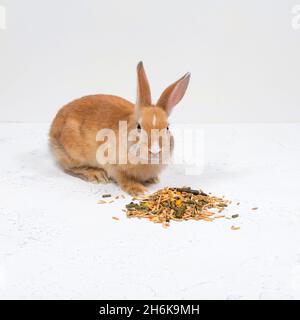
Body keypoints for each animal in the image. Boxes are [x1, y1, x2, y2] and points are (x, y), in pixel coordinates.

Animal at [49, 61, 190, 194]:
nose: (155, 151)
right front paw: (138, 190)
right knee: (69, 168)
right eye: (139, 127)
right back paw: (96, 175)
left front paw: (153, 179)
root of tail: (52, 130)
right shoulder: (112, 163)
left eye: (167, 128)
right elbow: (122, 178)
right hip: (72, 151)